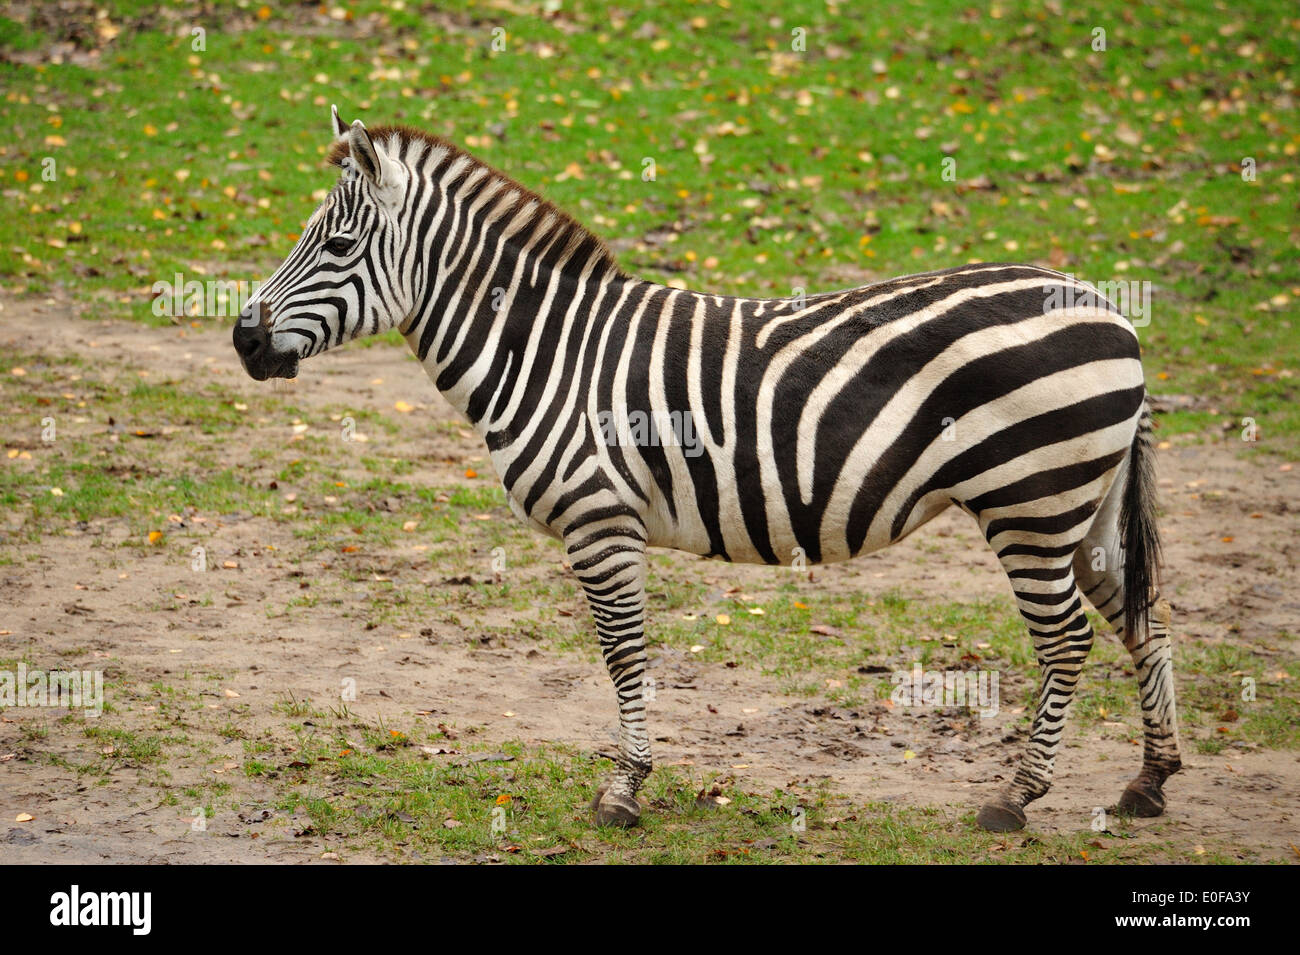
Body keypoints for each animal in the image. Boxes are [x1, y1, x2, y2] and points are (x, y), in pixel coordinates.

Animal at [233, 110, 1180, 831]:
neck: (549, 352)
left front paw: (623, 790)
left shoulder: (600, 520)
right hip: (1082, 508)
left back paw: (1016, 797)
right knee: (1144, 617)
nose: (243, 339)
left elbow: (623, 654)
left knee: (1068, 637)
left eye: (338, 244)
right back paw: (1149, 781)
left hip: (1030, 501)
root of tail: (1114, 312)